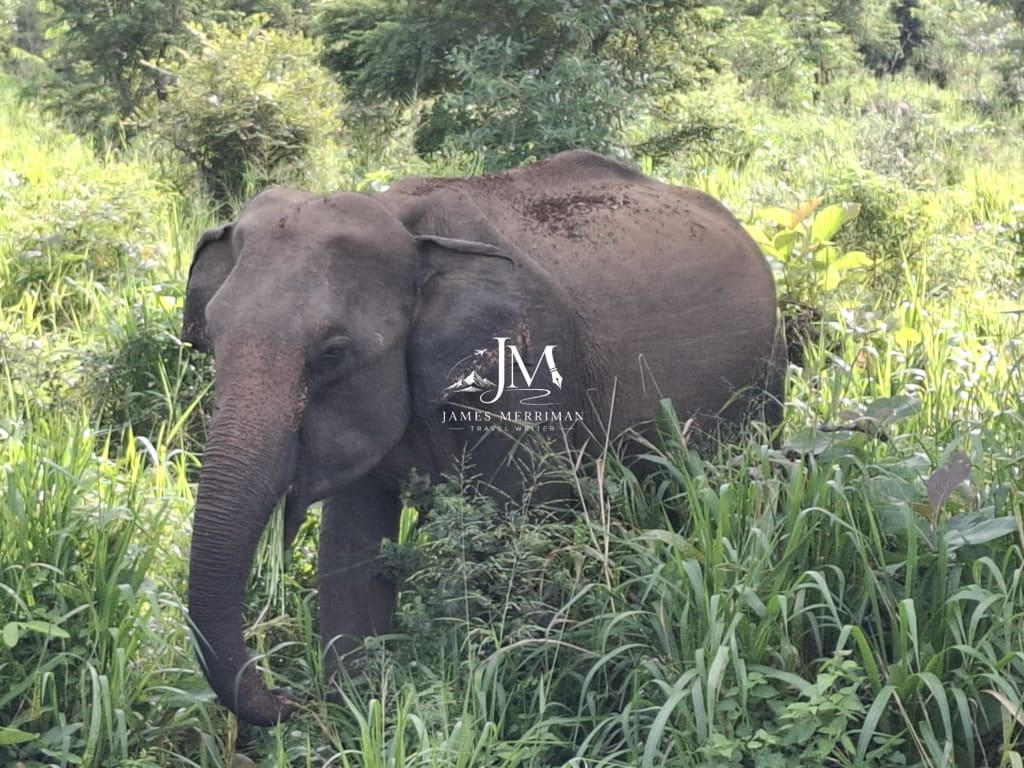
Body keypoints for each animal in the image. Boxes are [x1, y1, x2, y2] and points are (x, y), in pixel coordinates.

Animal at [182, 149, 784, 726]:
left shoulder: (527, 374)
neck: (410, 231)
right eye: (211, 336)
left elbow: (522, 535)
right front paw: (359, 715)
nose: (287, 698)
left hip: (762, 382)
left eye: (332, 352)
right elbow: (353, 549)